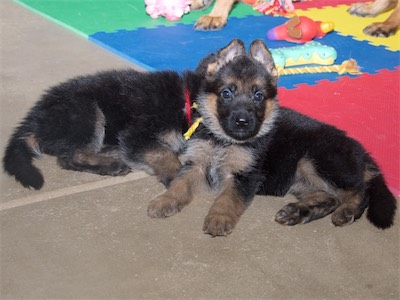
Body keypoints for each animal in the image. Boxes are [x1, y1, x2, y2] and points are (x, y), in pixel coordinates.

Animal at [3, 38, 396, 236]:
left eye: (258, 96)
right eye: (226, 93)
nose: (242, 122)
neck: (187, 104)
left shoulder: (242, 173)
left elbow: (212, 186)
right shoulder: (141, 138)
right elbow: (171, 160)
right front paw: (171, 185)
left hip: (315, 161)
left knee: (356, 192)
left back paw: (335, 211)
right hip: (89, 113)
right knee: (67, 155)